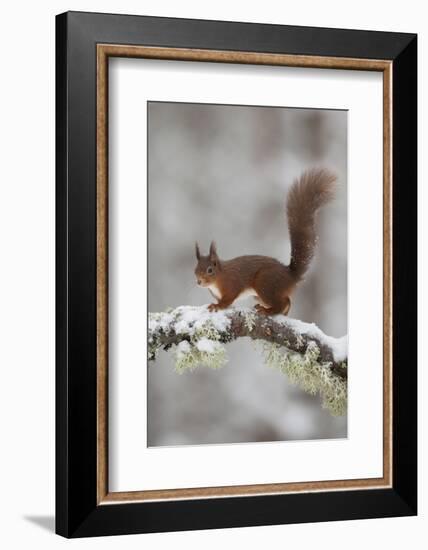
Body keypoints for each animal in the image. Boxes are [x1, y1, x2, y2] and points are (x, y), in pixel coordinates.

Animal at [194, 168, 338, 316]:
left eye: (210, 270)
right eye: (195, 269)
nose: (199, 281)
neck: (219, 277)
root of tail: (290, 276)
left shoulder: (232, 285)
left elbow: (227, 300)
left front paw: (217, 306)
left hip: (265, 283)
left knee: (282, 302)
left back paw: (267, 311)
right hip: (260, 293)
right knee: (287, 301)